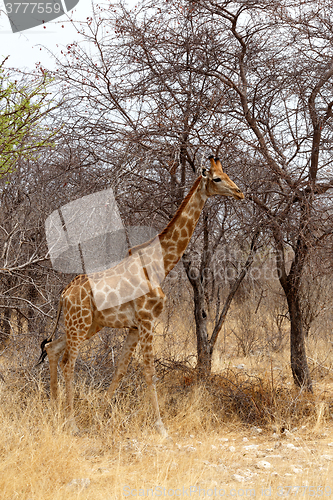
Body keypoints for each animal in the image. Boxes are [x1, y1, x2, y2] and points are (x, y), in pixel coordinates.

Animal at [39, 157, 243, 438]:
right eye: (217, 178)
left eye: (227, 174)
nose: (240, 192)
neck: (160, 264)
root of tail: (63, 294)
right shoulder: (147, 320)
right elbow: (149, 371)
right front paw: (160, 427)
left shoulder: (134, 326)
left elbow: (121, 370)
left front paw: (99, 415)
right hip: (79, 323)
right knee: (69, 362)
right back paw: (70, 423)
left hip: (89, 325)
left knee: (52, 348)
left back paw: (56, 411)